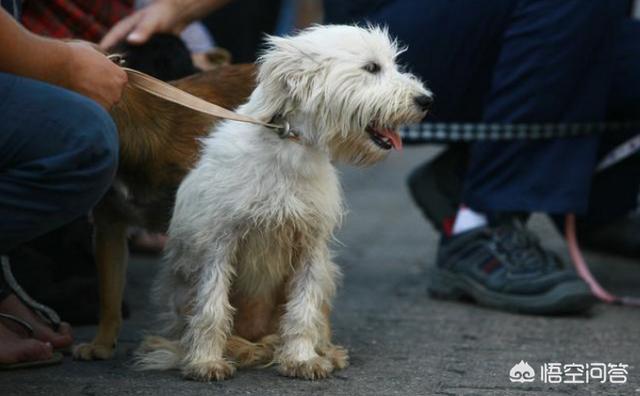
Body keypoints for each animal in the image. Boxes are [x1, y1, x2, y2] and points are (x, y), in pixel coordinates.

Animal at [137, 24, 432, 380]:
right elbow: (212, 306)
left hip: (326, 273)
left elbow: (302, 309)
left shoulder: (310, 245)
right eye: (372, 67)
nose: (426, 100)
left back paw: (322, 351)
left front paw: (302, 358)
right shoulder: (219, 244)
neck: (289, 147)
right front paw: (205, 361)